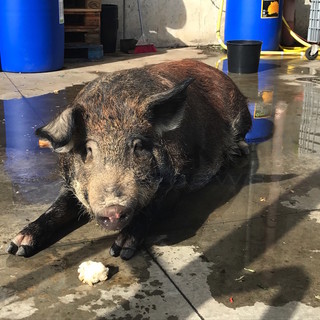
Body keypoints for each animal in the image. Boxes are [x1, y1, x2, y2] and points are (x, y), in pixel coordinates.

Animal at [7, 59, 251, 260]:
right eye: (87, 150)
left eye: (139, 146)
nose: (113, 209)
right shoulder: (68, 185)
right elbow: (57, 207)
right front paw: (16, 247)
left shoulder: (181, 178)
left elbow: (152, 208)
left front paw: (120, 250)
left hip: (241, 116)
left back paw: (241, 151)